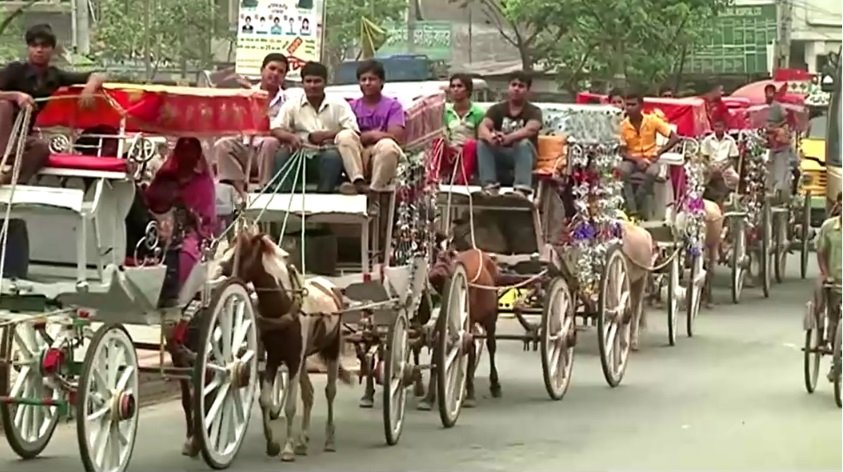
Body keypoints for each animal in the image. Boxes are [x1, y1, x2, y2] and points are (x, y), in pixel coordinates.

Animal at [171, 225, 351, 462]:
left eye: (240, 253)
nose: (213, 275)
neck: (285, 304)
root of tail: (330, 286)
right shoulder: (276, 357)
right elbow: (264, 399)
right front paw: (273, 444)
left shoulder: (293, 360)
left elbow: (291, 406)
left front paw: (287, 448)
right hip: (303, 358)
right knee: (309, 394)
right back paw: (303, 440)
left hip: (332, 349)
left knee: (330, 391)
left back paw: (329, 439)